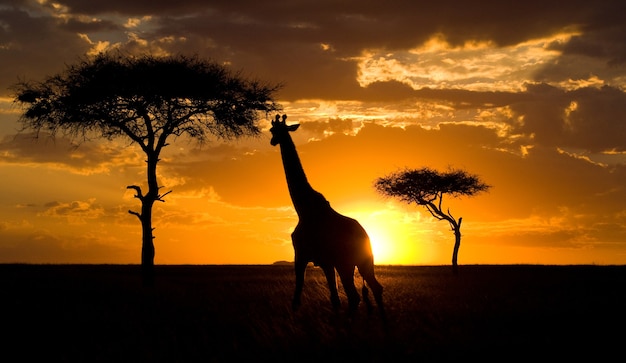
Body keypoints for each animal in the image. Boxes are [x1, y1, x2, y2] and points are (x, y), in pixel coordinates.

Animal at [270, 114, 382, 318]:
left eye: (277, 131)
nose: (273, 141)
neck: (303, 208)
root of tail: (365, 235)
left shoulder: (302, 255)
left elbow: (298, 296)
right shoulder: (325, 262)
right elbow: (334, 299)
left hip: (345, 263)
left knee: (355, 296)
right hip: (364, 261)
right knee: (375, 288)